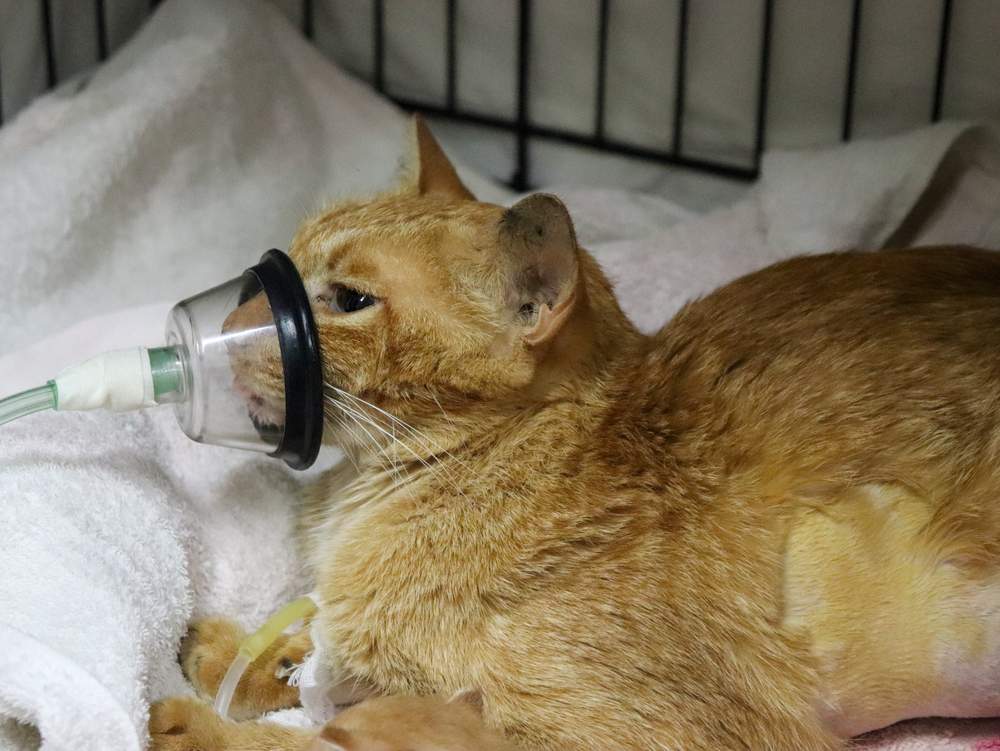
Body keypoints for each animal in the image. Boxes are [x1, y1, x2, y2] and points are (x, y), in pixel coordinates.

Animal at [148, 119, 1000, 751]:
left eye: (350, 299)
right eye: (285, 263)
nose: (223, 321)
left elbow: (338, 734)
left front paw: (206, 725)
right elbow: (312, 646)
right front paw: (238, 656)